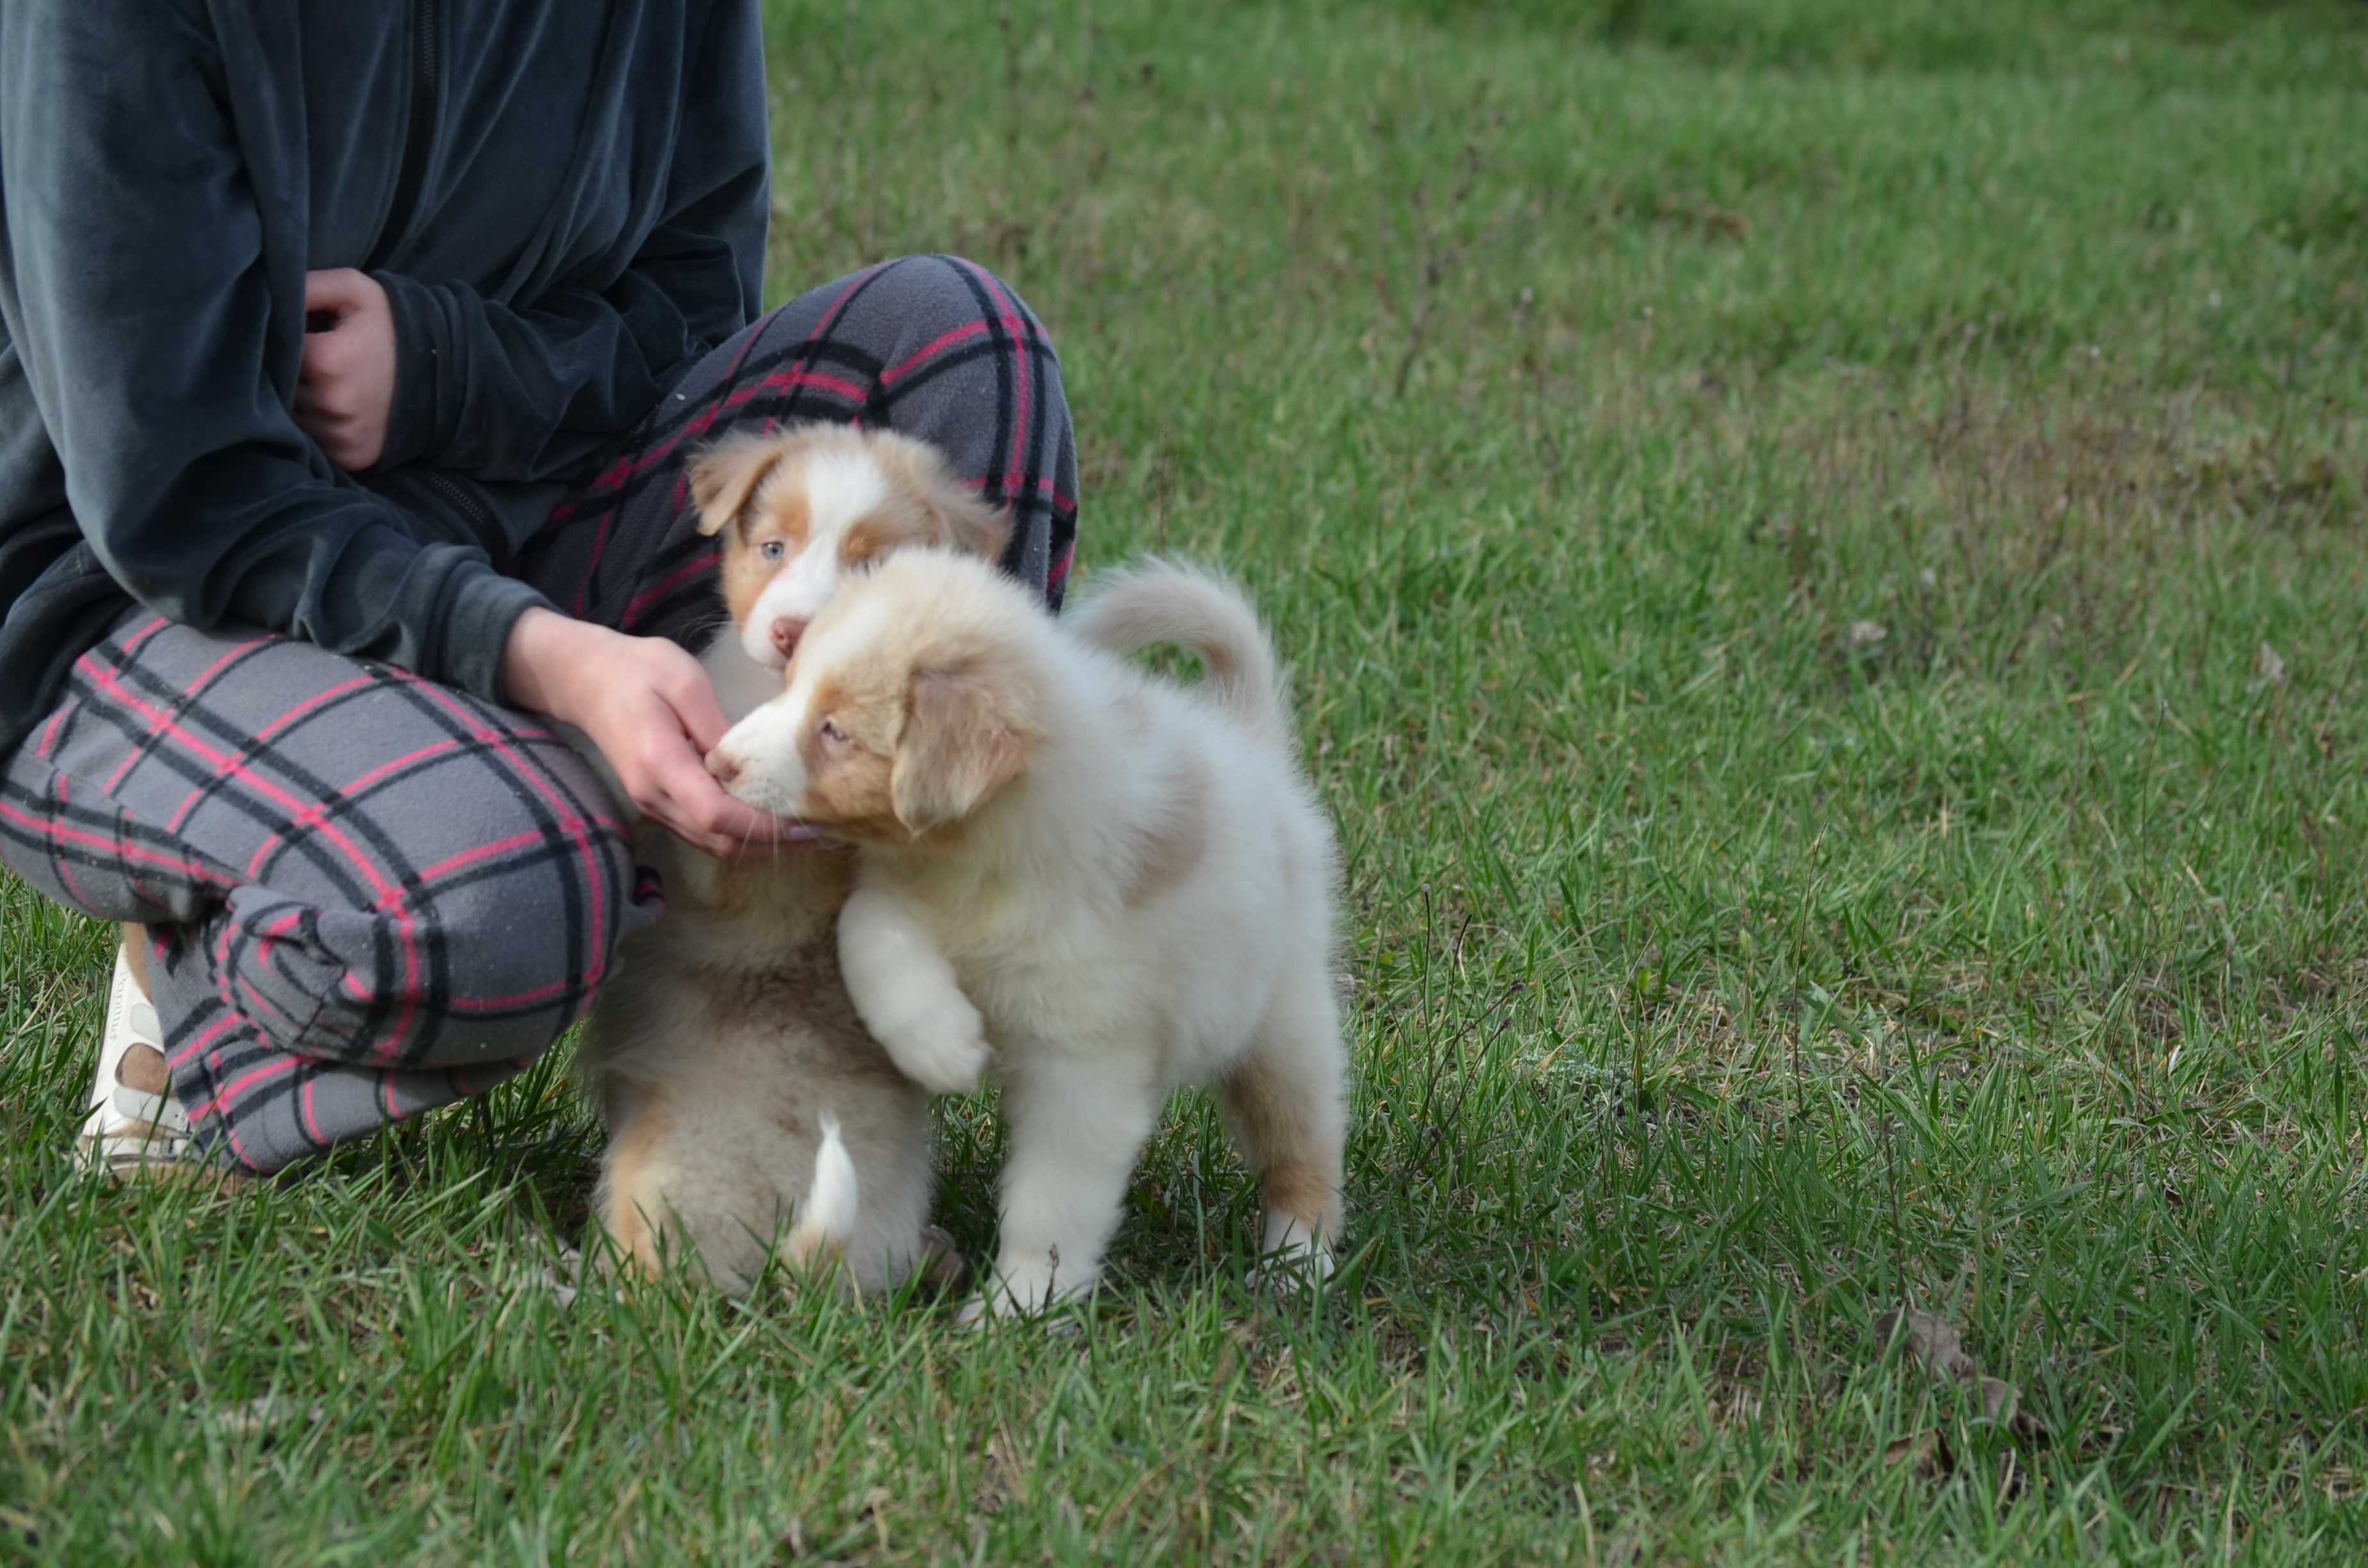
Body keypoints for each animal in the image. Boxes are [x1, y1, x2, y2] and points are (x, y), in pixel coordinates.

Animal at [696, 547, 1354, 1317]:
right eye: (792, 683)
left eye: (836, 730)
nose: (718, 762)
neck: (982, 861)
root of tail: (1255, 749)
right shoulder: (904, 887)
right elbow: (870, 930)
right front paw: (941, 1047)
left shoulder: (1083, 1061)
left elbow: (1051, 1201)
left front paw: (1018, 1305)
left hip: (1280, 1021)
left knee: (1304, 1144)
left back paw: (1297, 1262)